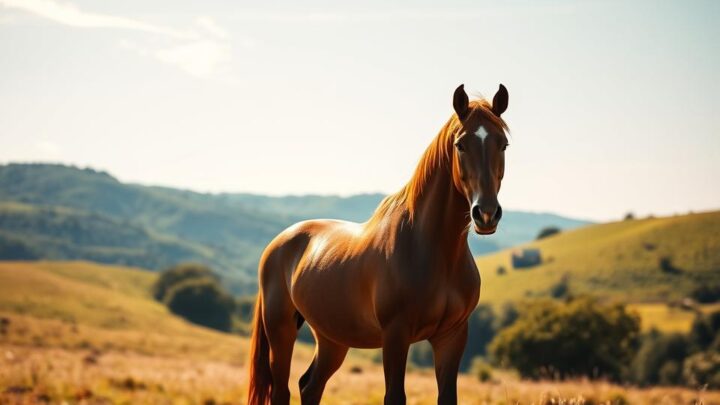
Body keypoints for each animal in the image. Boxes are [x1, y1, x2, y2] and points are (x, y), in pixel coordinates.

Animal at [247, 83, 510, 405]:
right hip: (281, 330)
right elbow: (394, 396)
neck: (431, 249)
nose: (486, 214)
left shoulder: (452, 336)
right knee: (282, 390)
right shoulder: (395, 335)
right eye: (460, 145)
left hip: (332, 338)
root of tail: (279, 244)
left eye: (503, 144)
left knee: (309, 386)